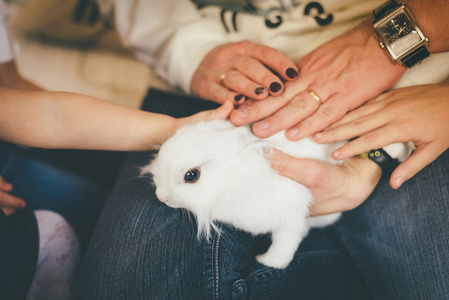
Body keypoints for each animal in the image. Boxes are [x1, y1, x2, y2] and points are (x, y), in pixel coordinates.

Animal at [144, 118, 344, 268]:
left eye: (191, 175)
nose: (162, 196)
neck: (229, 175)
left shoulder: (292, 211)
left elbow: (286, 240)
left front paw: (270, 262)